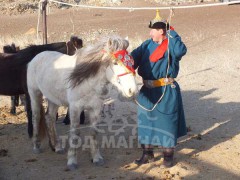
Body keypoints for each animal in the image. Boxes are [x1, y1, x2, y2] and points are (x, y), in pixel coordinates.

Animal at [27, 35, 138, 170]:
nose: (132, 90)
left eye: (132, 62)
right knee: (36, 117)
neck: (88, 82)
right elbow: (75, 132)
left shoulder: (96, 108)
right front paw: (72, 161)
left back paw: (57, 147)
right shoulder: (75, 108)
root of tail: (36, 57)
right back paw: (36, 146)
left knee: (50, 118)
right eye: (115, 63)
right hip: (35, 94)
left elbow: (93, 132)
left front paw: (96, 158)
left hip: (53, 99)